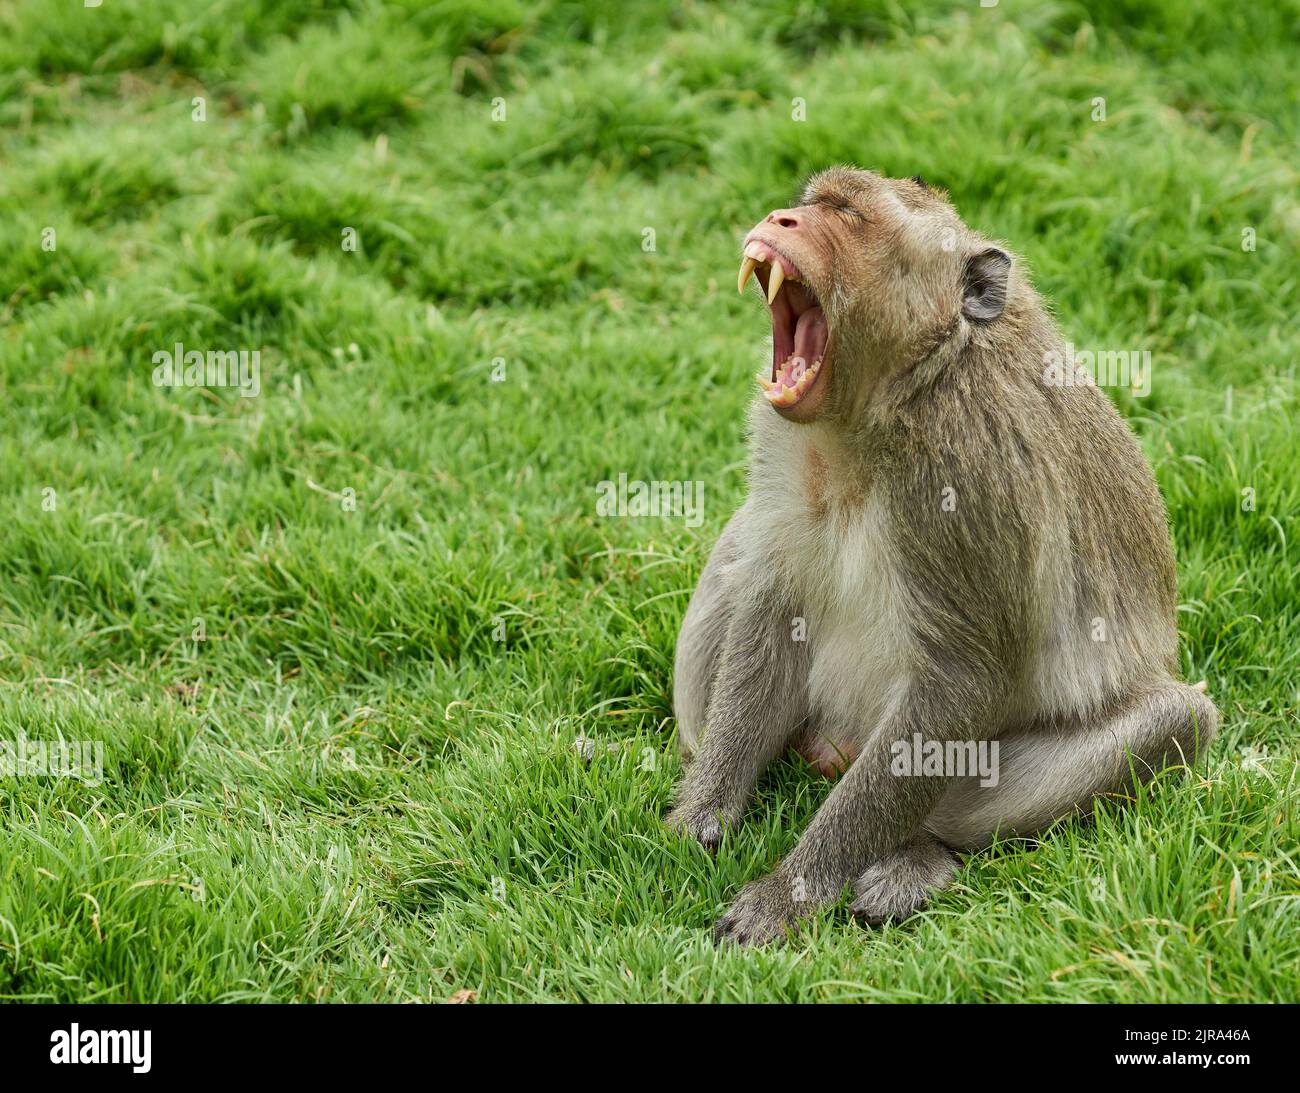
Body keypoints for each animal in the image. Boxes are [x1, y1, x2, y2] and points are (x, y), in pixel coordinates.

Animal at [666, 166, 1217, 945]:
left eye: (849, 216)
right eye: (813, 200)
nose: (782, 219)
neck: (890, 399)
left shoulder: (967, 472)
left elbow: (961, 685)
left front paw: (786, 893)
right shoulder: (782, 439)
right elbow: (775, 603)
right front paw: (704, 813)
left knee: (1175, 720)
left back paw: (917, 854)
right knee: (744, 539)